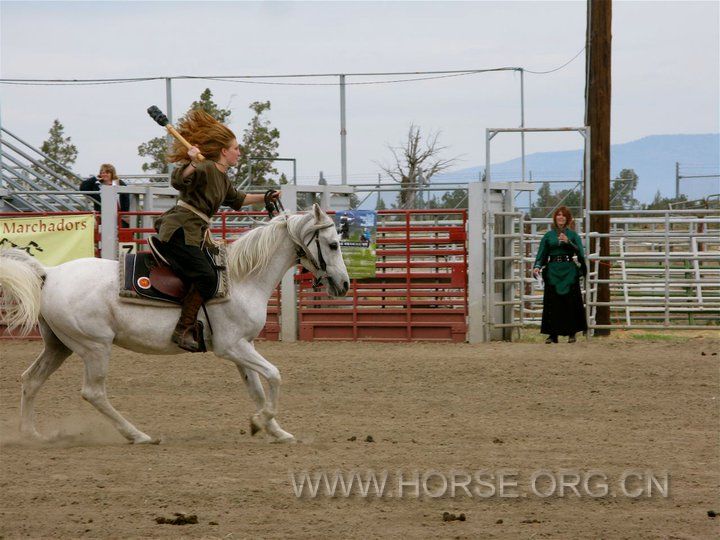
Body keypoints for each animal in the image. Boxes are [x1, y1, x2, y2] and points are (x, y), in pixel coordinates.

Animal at [0, 205, 348, 446]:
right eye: (332, 244)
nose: (344, 284)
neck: (241, 278)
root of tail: (49, 273)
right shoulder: (231, 347)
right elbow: (274, 375)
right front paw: (261, 423)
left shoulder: (243, 348)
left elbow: (257, 389)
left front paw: (274, 429)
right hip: (94, 347)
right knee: (93, 392)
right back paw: (138, 435)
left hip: (59, 346)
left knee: (31, 380)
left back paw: (32, 434)